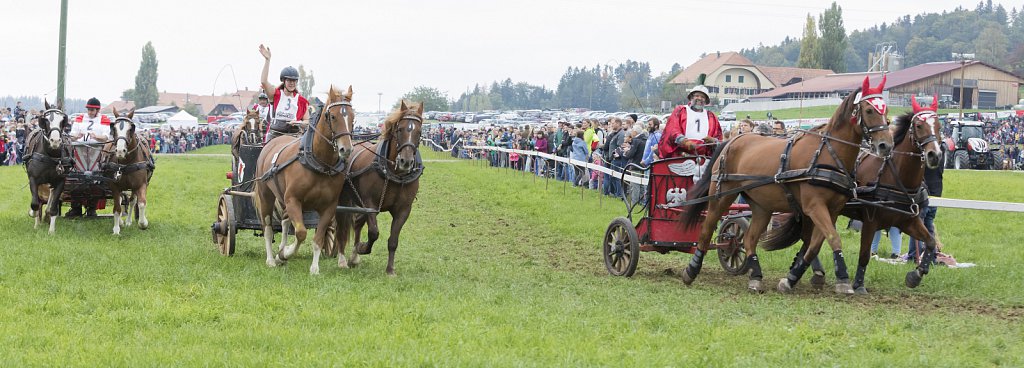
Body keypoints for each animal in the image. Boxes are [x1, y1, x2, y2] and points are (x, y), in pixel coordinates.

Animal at [105, 108, 154, 236]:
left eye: (131, 128)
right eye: (114, 128)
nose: (120, 151)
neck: (126, 162)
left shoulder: (141, 184)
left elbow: (141, 203)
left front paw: (143, 222)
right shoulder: (114, 186)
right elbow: (117, 207)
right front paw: (116, 228)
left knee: (132, 201)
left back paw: (128, 221)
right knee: (121, 200)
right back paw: (122, 222)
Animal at [253, 83, 354, 274]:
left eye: (353, 116)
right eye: (333, 116)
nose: (346, 149)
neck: (319, 164)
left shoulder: (329, 207)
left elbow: (318, 239)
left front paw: (314, 268)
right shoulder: (293, 200)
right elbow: (301, 233)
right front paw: (283, 255)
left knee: (285, 221)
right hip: (266, 196)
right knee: (268, 228)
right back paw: (271, 259)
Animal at [331, 100, 419, 276]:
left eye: (419, 132)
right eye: (400, 129)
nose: (406, 161)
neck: (394, 173)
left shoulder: (403, 210)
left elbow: (393, 240)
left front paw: (390, 270)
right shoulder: (370, 204)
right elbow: (373, 232)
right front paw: (363, 248)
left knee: (357, 223)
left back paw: (353, 257)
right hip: (344, 200)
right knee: (341, 227)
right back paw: (343, 257)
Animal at [679, 76, 888, 293]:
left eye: (886, 110)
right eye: (869, 110)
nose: (885, 145)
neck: (828, 154)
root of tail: (732, 140)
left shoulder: (833, 209)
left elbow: (816, 243)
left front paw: (792, 278)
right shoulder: (814, 206)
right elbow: (832, 238)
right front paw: (843, 278)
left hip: (762, 206)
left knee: (750, 238)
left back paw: (756, 276)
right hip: (722, 196)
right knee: (707, 229)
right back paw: (691, 270)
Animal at [765, 97, 946, 293]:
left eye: (939, 126)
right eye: (919, 125)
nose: (935, 155)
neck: (895, 176)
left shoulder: (907, 220)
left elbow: (930, 242)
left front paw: (916, 275)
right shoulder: (871, 221)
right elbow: (865, 254)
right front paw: (858, 284)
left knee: (808, 239)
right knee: (809, 238)